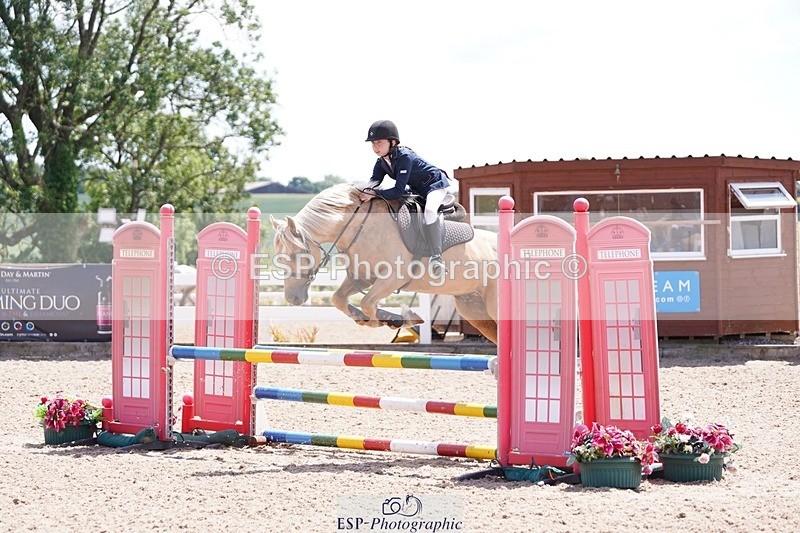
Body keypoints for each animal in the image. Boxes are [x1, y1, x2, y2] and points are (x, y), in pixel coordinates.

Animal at [270, 184, 499, 343]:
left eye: (297, 255)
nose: (292, 299)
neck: (359, 227)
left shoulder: (392, 278)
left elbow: (368, 303)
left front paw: (399, 319)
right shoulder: (362, 277)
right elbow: (339, 299)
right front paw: (370, 318)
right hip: (475, 310)